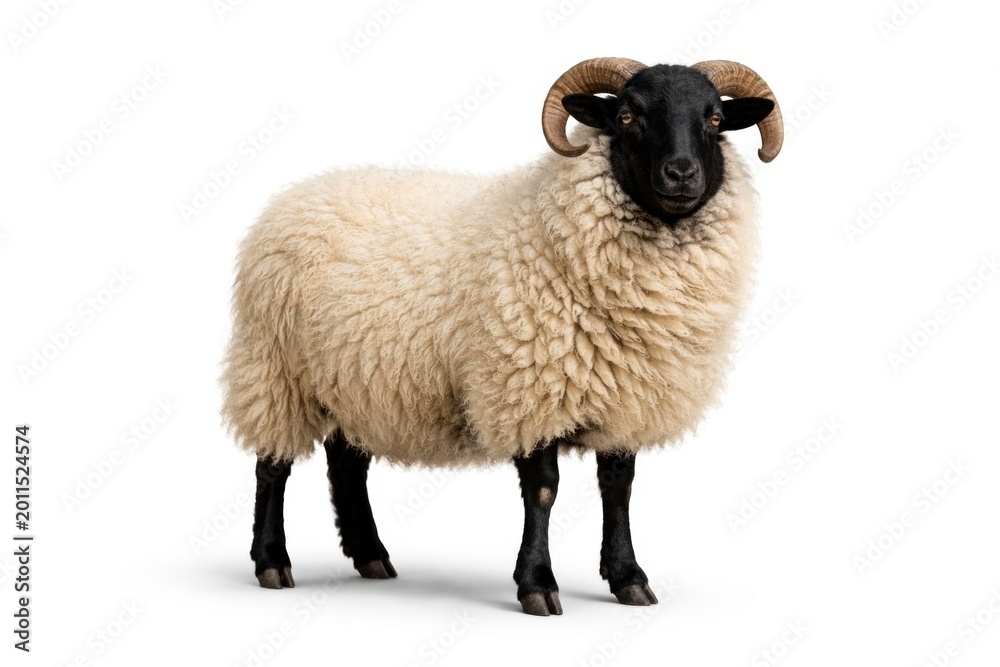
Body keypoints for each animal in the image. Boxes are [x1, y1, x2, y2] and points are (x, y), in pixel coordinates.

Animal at [222, 57, 783, 615]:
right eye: (627, 116)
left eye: (715, 120)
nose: (682, 173)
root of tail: (300, 190)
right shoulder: (528, 390)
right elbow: (543, 492)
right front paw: (537, 584)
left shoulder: (626, 397)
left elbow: (618, 490)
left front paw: (628, 579)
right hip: (274, 370)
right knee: (272, 467)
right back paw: (272, 563)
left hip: (356, 377)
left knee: (346, 463)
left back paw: (371, 556)